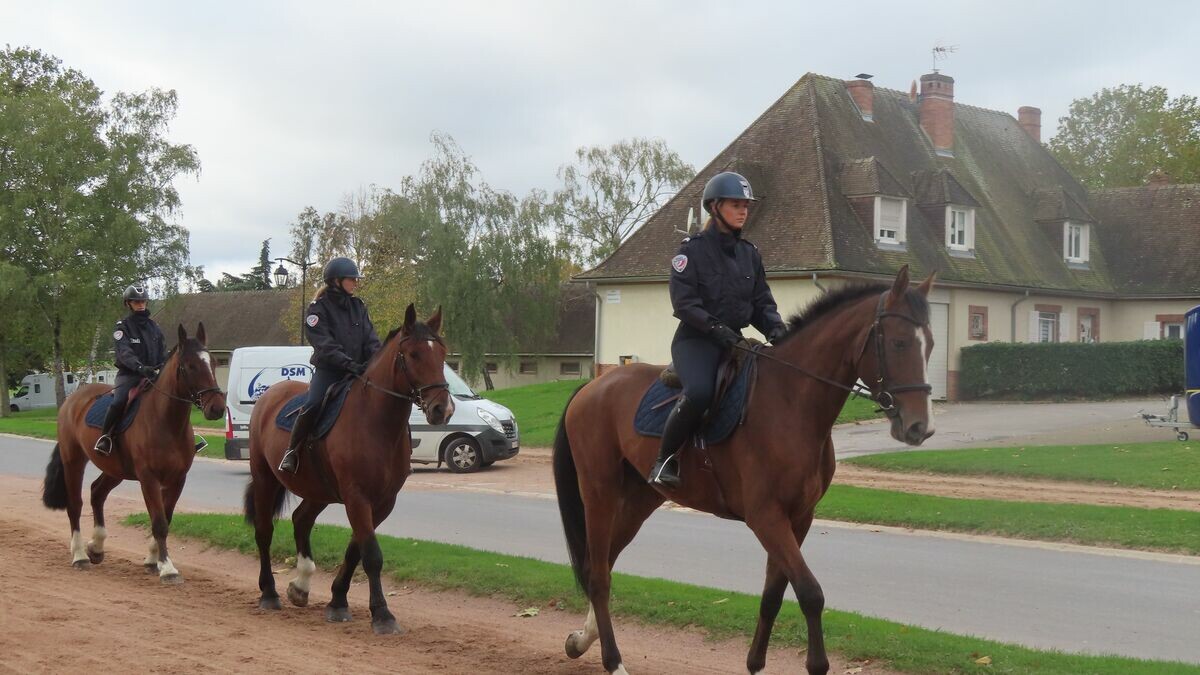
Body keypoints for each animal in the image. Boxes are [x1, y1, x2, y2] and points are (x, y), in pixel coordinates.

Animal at [42, 323, 227, 583]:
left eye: (213, 362)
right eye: (190, 365)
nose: (217, 408)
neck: (166, 422)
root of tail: (73, 400)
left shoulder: (177, 479)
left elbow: (166, 518)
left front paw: (153, 560)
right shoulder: (149, 479)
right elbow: (159, 522)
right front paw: (167, 568)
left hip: (115, 470)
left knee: (97, 493)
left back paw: (96, 548)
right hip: (74, 461)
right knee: (75, 505)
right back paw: (79, 555)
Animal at [243, 304, 453, 635]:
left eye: (442, 353)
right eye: (414, 354)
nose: (441, 409)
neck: (375, 422)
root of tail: (270, 394)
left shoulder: (382, 502)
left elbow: (356, 550)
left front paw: (338, 601)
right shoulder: (357, 498)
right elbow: (372, 555)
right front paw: (382, 614)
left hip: (318, 490)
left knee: (301, 520)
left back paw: (301, 585)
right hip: (265, 479)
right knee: (264, 531)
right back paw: (269, 593)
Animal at [552, 266, 937, 675]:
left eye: (929, 344)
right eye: (898, 343)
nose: (920, 427)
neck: (790, 400)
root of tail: (592, 387)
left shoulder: (798, 518)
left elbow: (773, 595)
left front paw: (755, 663)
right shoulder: (766, 517)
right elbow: (810, 593)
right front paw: (816, 664)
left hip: (639, 500)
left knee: (603, 563)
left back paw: (581, 639)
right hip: (600, 494)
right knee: (597, 575)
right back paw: (614, 662)